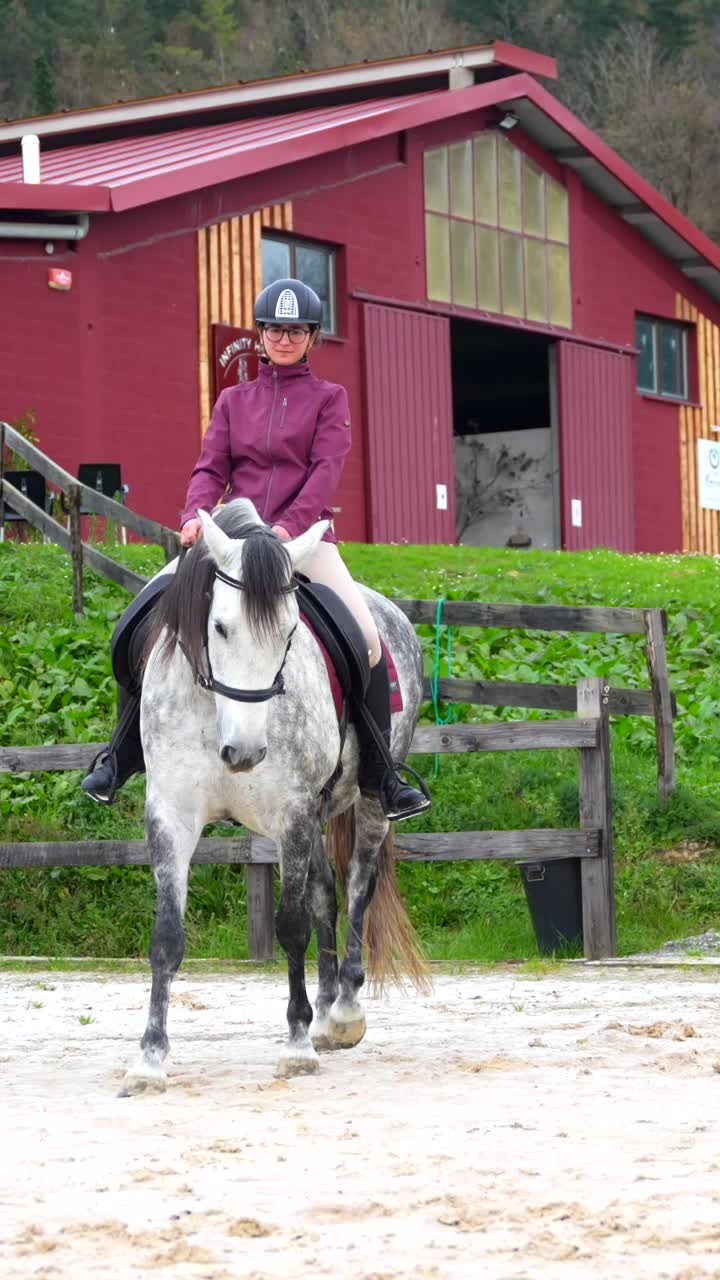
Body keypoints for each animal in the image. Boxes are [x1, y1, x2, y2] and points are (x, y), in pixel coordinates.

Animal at [120, 498, 429, 1093]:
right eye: (219, 627)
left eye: (290, 631)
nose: (243, 751)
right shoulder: (171, 815)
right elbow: (167, 935)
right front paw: (149, 1059)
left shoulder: (293, 814)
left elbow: (290, 927)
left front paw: (297, 1046)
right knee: (326, 894)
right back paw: (327, 1006)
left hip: (365, 805)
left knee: (357, 886)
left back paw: (343, 1011)